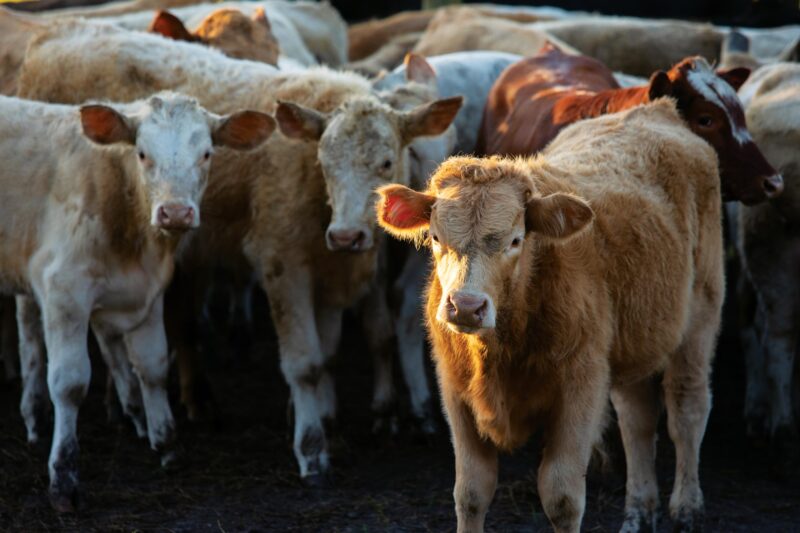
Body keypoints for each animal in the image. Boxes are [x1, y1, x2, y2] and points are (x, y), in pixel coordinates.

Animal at [0, 92, 274, 511]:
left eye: (207, 153)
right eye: (142, 153)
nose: (175, 213)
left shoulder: (150, 293)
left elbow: (153, 367)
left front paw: (167, 444)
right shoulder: (64, 291)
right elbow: (69, 382)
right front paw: (63, 479)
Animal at [18, 19, 463, 482]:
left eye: (387, 162)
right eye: (324, 162)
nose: (346, 237)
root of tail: (62, 29)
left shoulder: (328, 273)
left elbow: (327, 356)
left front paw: (328, 426)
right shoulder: (283, 264)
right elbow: (304, 363)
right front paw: (311, 449)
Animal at [377, 99, 724, 533]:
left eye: (515, 240)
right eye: (436, 237)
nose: (467, 306)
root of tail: (656, 110)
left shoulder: (582, 384)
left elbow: (562, 497)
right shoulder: (455, 390)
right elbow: (471, 493)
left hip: (700, 317)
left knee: (686, 410)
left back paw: (687, 507)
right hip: (632, 343)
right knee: (637, 422)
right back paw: (638, 512)